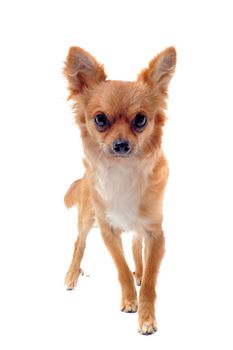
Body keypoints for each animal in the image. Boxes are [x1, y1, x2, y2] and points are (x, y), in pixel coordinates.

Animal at [62, 45, 176, 334]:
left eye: (141, 120)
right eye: (100, 119)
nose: (122, 145)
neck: (124, 171)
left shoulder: (154, 233)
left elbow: (150, 278)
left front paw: (146, 315)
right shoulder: (108, 230)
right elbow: (121, 268)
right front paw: (129, 300)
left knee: (136, 247)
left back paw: (139, 271)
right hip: (87, 215)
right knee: (79, 242)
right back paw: (72, 274)